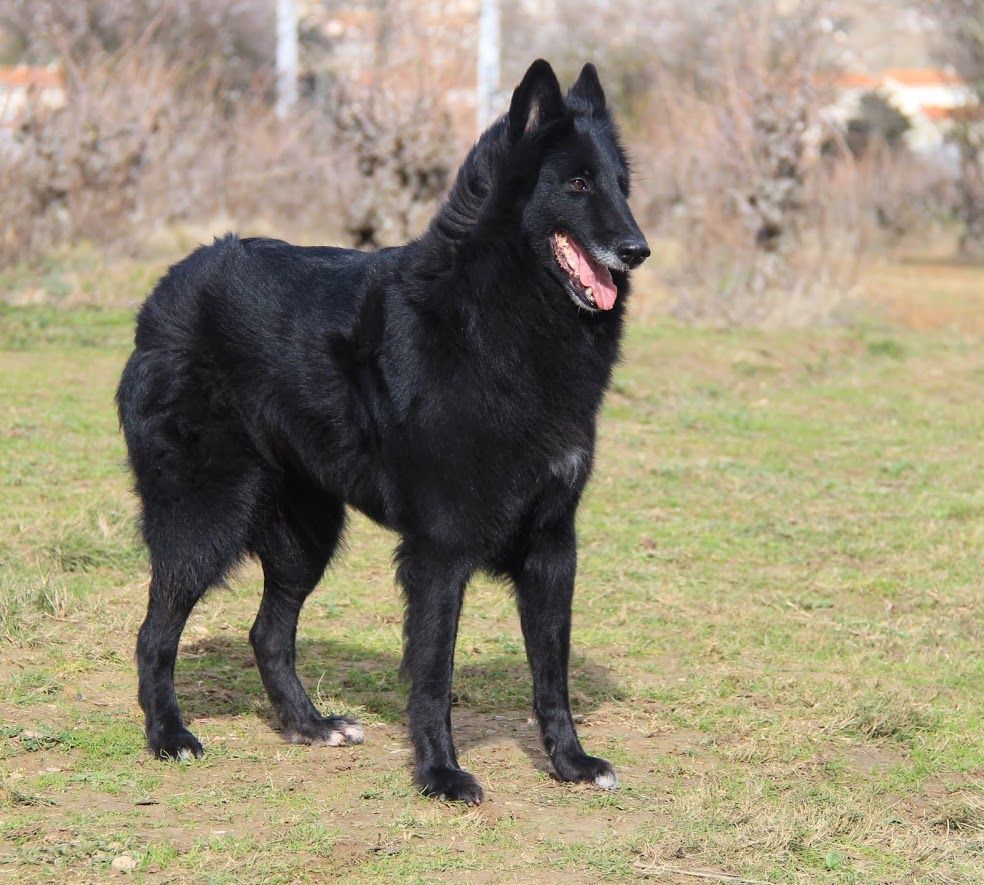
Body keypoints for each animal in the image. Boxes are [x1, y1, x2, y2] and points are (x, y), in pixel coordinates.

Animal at [117, 57, 644, 800]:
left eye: (622, 187)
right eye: (576, 184)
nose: (637, 249)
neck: (493, 314)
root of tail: (169, 287)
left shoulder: (552, 544)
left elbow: (552, 675)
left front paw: (570, 762)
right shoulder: (440, 549)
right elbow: (433, 672)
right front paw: (441, 774)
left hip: (307, 534)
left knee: (267, 633)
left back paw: (310, 725)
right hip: (206, 518)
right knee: (154, 633)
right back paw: (169, 736)